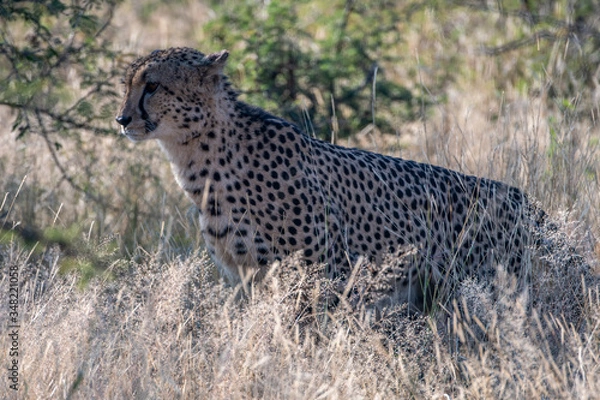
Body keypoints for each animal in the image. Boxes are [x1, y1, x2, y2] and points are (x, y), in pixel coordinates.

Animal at [115, 46, 552, 310]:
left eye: (152, 85)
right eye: (128, 85)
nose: (121, 119)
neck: (201, 159)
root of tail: (524, 198)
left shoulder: (325, 276)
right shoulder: (248, 278)